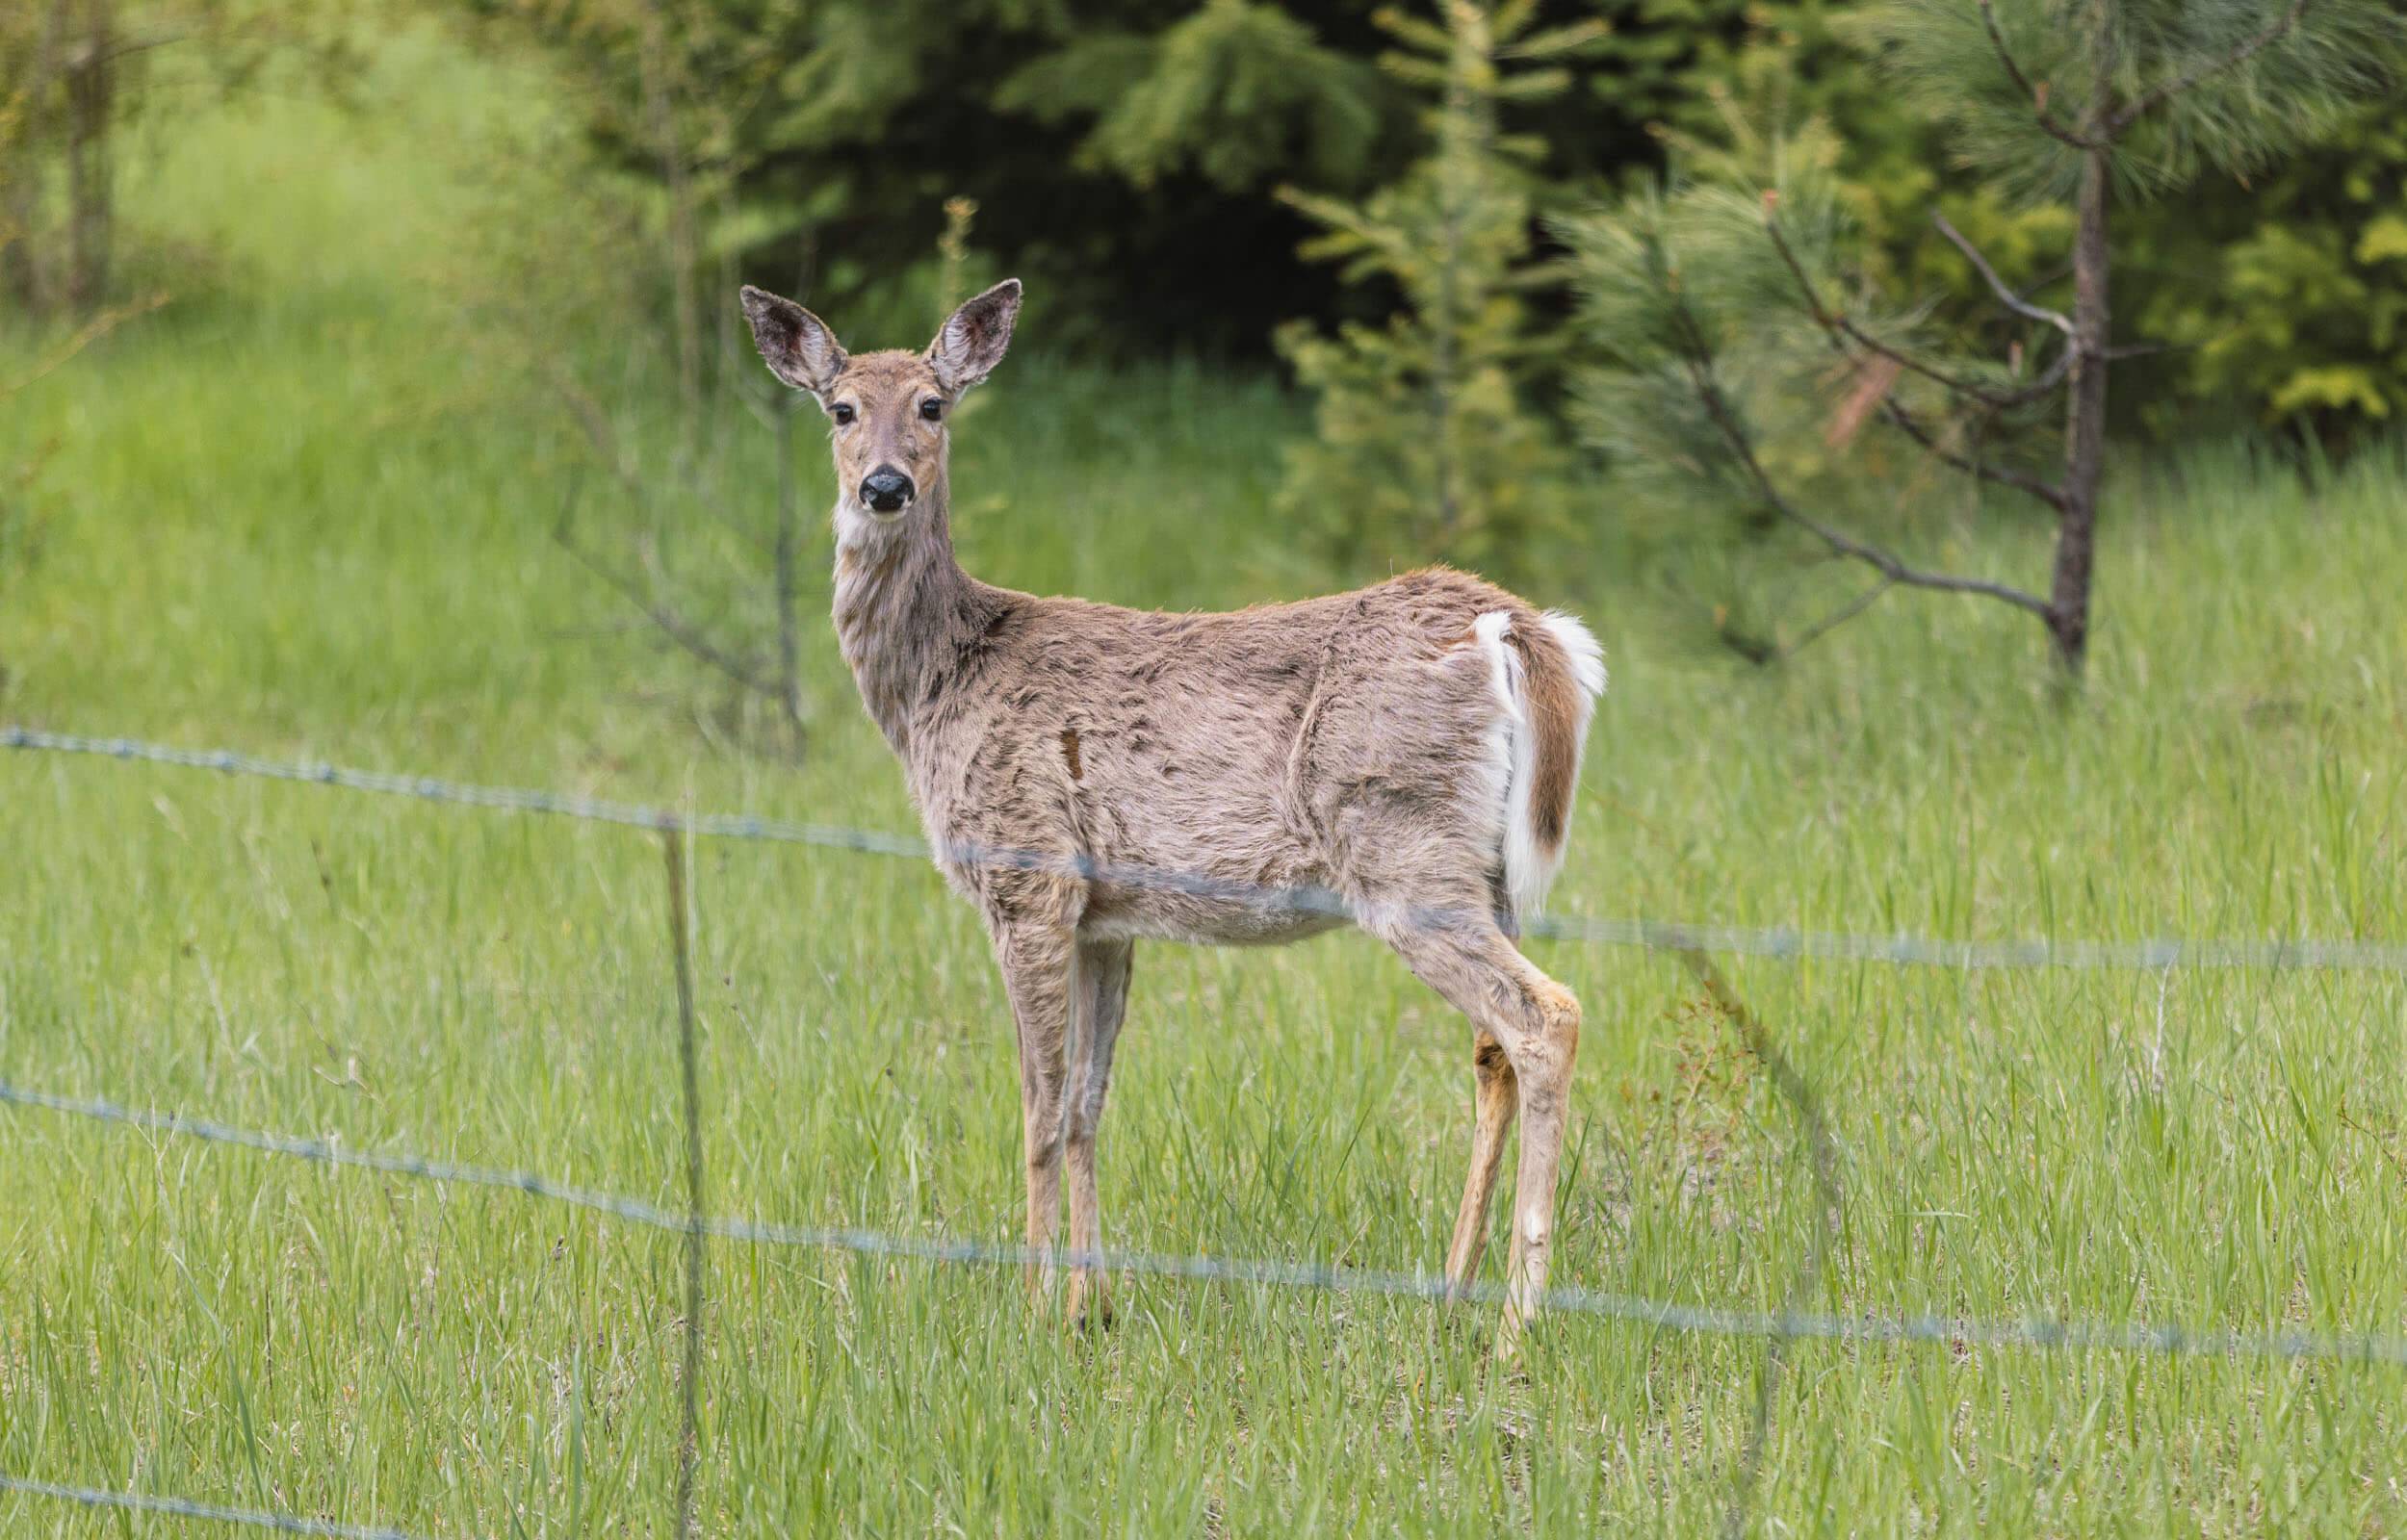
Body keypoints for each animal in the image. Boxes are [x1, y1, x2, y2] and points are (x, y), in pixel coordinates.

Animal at [732, 276, 1598, 1348]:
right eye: (841, 409)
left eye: (932, 405)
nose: (884, 486)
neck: (939, 681)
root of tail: (1512, 626)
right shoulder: (1105, 916)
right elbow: (1086, 1108)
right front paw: (1090, 1305)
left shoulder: (1026, 876)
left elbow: (1036, 1111)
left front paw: (1030, 1310)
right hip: (1485, 868)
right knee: (1491, 1045)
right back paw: (1449, 1295)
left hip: (1399, 846)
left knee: (1543, 1016)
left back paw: (1519, 1321)